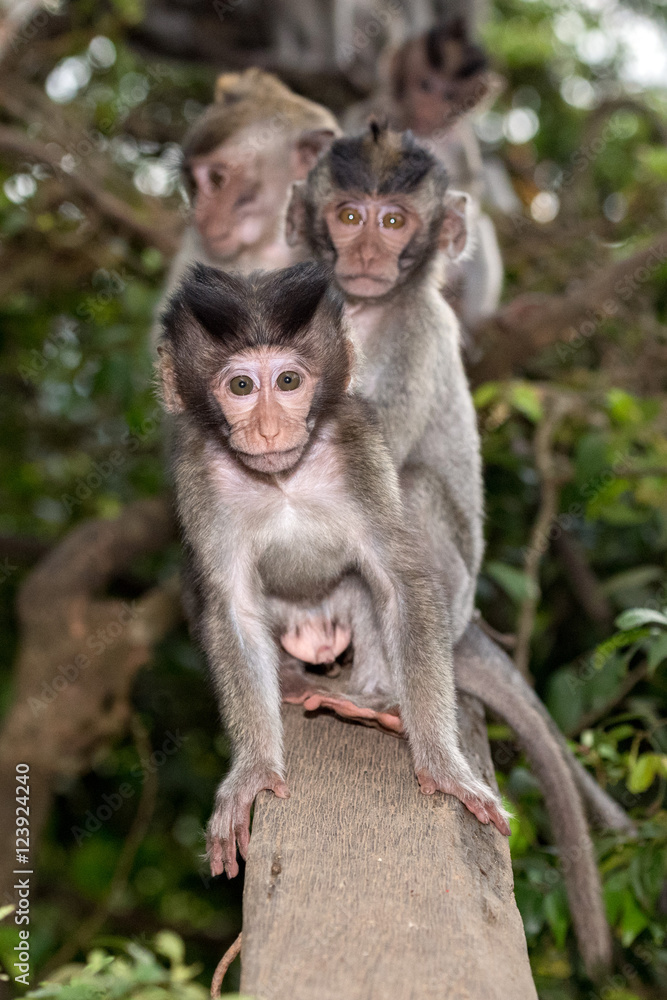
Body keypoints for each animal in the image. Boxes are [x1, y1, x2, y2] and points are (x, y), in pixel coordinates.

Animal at [159, 262, 516, 880]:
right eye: (241, 387)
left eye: (288, 381)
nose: (270, 428)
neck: (283, 479)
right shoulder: (197, 473)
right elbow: (232, 606)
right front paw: (254, 771)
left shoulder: (360, 450)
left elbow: (398, 580)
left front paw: (444, 766)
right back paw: (294, 681)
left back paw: (368, 699)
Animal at [286, 123, 620, 976]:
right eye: (348, 214)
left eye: (395, 220)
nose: (368, 251)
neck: (366, 315)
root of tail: (465, 628)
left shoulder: (418, 334)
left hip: (451, 592)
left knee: (405, 499)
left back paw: (375, 691)